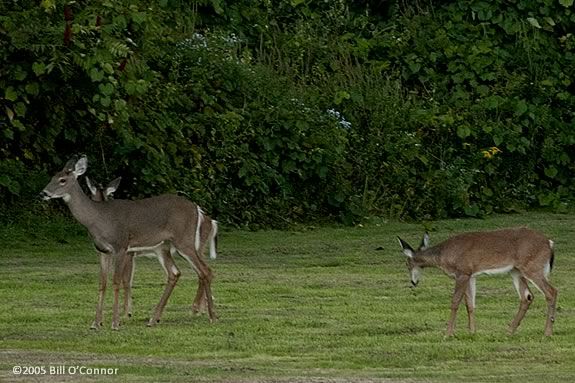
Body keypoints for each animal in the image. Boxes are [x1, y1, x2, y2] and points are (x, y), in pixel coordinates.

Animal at [85, 176, 218, 320]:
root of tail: (211, 221)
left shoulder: (128, 253)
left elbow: (126, 280)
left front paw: (126, 313)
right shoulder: (129, 253)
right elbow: (125, 279)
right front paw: (127, 311)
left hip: (191, 246)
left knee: (203, 271)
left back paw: (198, 309)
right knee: (203, 271)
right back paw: (201, 308)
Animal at [398, 230, 556, 338]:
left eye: (407, 264)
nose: (413, 282)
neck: (443, 256)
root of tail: (549, 243)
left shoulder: (462, 272)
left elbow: (455, 302)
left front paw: (448, 333)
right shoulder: (470, 275)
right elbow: (470, 304)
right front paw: (472, 332)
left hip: (532, 267)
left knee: (551, 291)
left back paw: (547, 332)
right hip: (516, 271)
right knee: (527, 296)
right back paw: (509, 331)